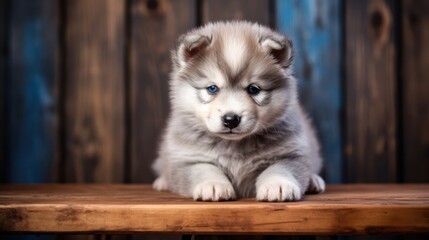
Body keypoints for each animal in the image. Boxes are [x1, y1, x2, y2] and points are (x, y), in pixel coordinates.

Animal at [152, 20, 322, 202]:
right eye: (212, 88)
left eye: (253, 89)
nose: (231, 119)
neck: (234, 145)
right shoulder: (186, 159)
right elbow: (205, 169)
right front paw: (212, 184)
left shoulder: (291, 152)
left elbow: (280, 168)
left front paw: (278, 184)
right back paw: (162, 182)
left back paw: (314, 181)